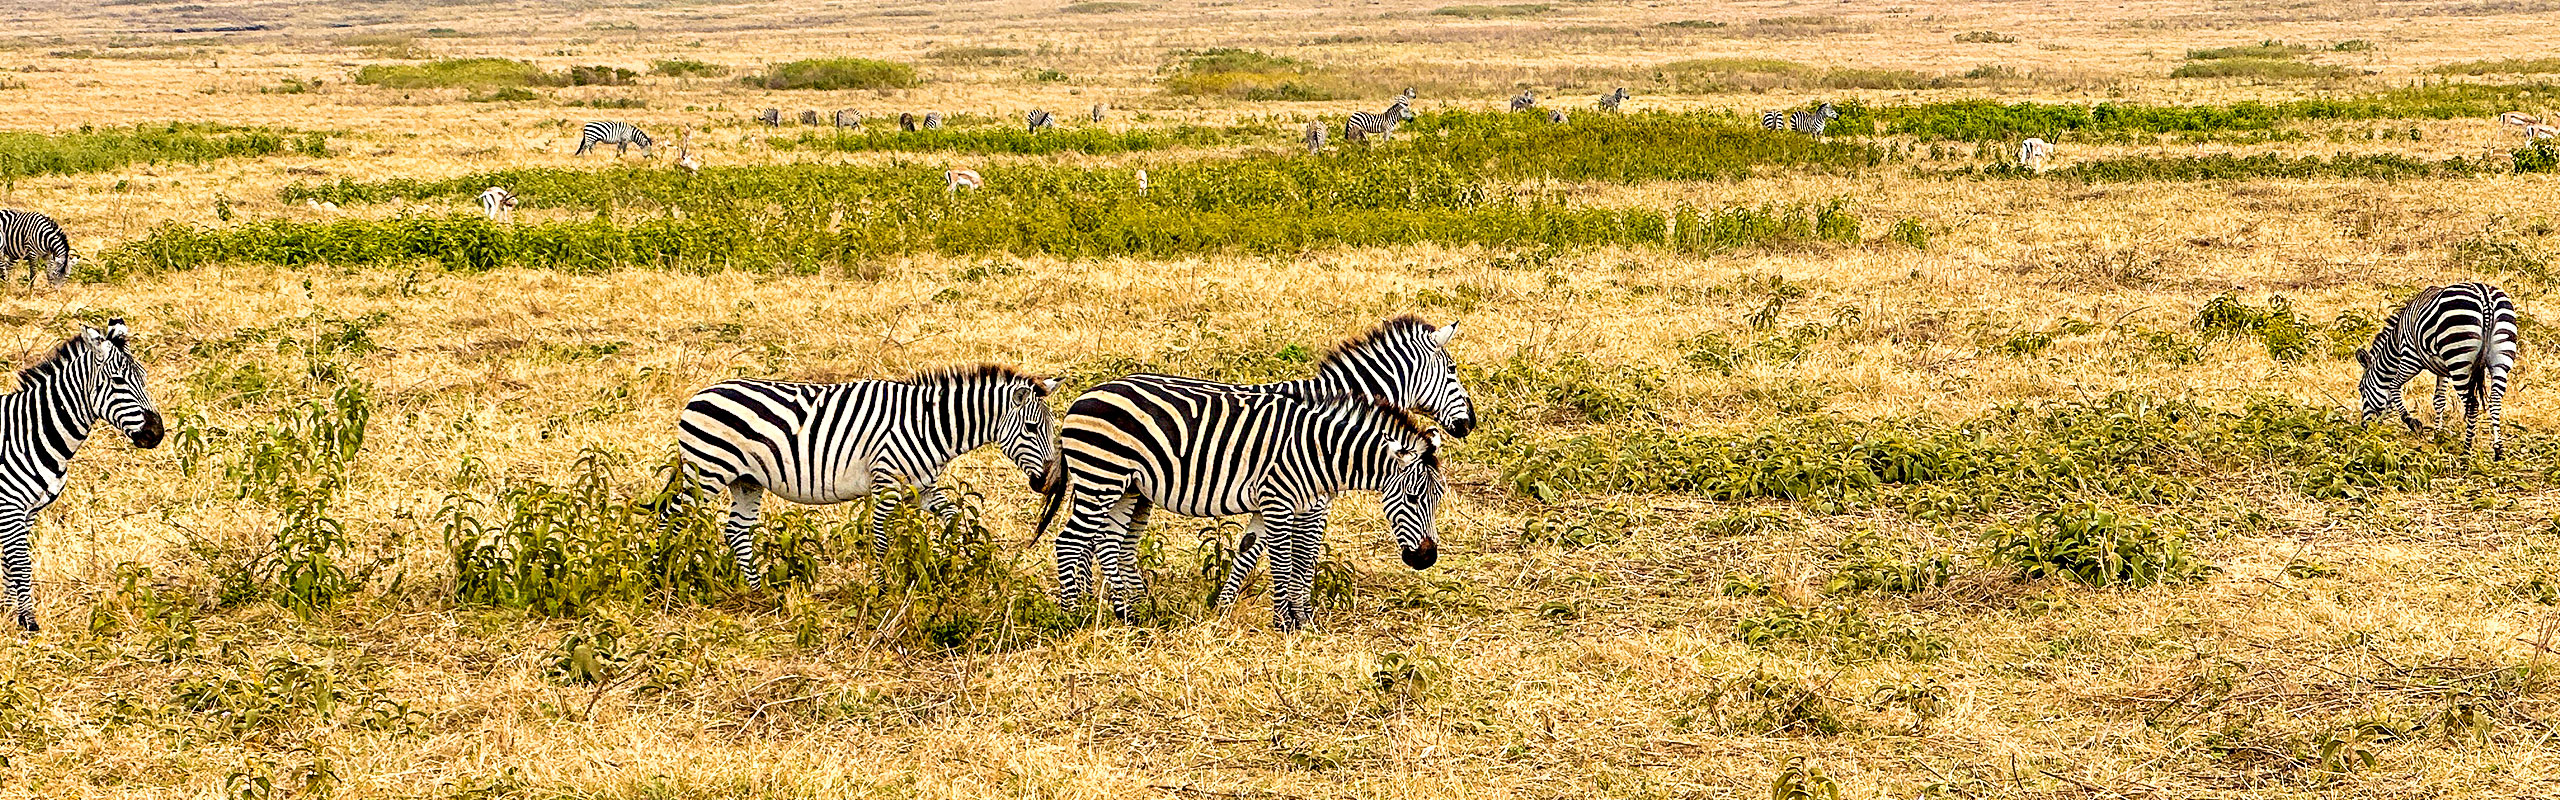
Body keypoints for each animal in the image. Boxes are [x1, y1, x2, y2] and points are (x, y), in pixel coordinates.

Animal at [0, 320, 163, 630]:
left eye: (145, 377)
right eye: (117, 381)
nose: (156, 433)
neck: (29, 433)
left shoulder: (29, 511)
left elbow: (9, 566)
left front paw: (10, 615)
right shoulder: (8, 507)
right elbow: (20, 565)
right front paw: (29, 624)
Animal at [670, 366, 1059, 584]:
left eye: (1052, 427)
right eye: (1031, 427)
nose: (1047, 484)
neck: (930, 424)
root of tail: (697, 395)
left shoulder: (923, 488)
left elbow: (955, 518)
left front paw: (960, 560)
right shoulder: (885, 482)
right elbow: (882, 540)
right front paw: (879, 588)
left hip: (746, 480)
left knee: (737, 532)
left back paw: (757, 588)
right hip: (706, 471)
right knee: (674, 518)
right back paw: (664, 576)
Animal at [1034, 384, 1443, 628]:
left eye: (1437, 501)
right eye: (1412, 498)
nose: (1427, 559)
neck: (1320, 451)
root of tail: (1081, 398)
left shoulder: (1274, 506)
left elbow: (1266, 557)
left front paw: (1260, 615)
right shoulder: (1278, 502)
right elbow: (1284, 564)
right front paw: (1285, 623)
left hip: (1125, 488)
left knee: (1107, 542)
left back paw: (1129, 615)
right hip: (1100, 478)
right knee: (1069, 541)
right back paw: (1073, 617)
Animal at [2355, 283, 2519, 458]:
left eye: (2361, 389)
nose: (2364, 427)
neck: (2397, 342)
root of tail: (2485, 297)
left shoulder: (2410, 358)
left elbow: (2393, 386)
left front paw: (2413, 422)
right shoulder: (2442, 370)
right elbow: (2439, 400)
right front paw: (2437, 436)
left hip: (2459, 359)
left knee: (2473, 405)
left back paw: (2466, 450)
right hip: (2501, 357)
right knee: (2495, 400)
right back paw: (2498, 450)